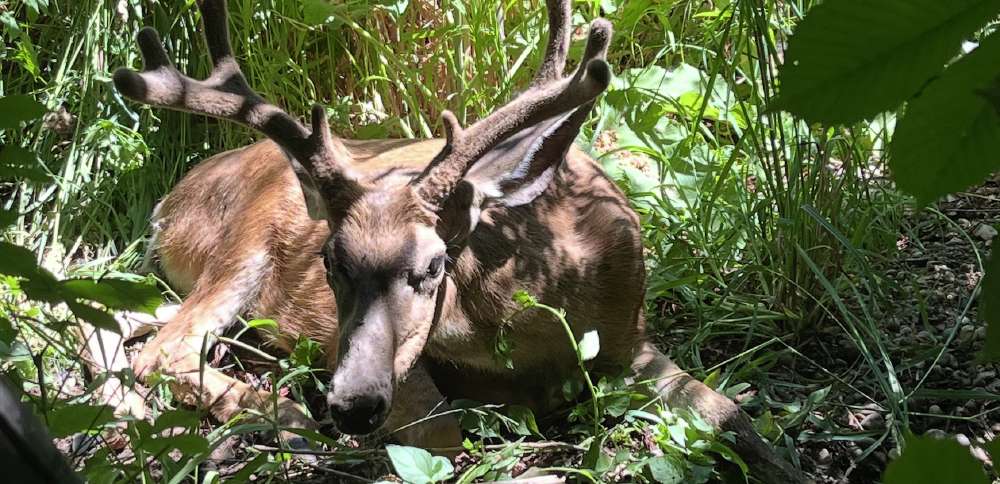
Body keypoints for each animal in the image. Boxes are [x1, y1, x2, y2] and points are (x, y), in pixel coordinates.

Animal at [92, 0, 806, 481]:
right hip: (244, 247)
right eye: (329, 260)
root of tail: (172, 200)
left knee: (131, 318)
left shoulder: (632, 337)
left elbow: (732, 414)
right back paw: (285, 416)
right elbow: (446, 437)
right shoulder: (382, 359)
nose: (350, 405)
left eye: (435, 265)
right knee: (166, 347)